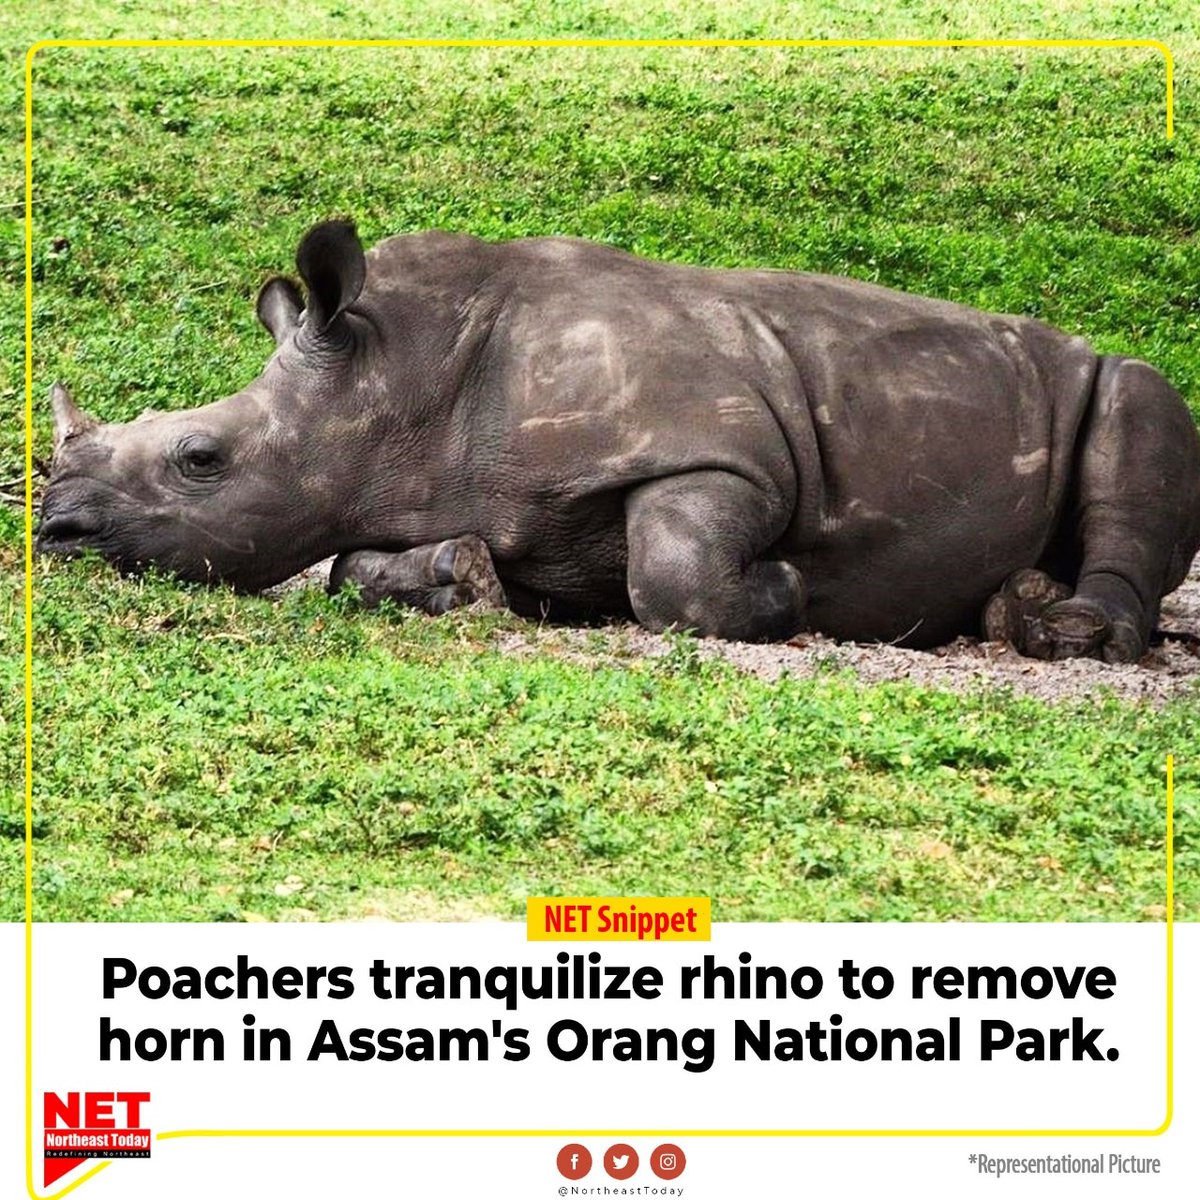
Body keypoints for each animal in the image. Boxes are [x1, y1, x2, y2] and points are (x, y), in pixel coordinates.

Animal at [37, 220, 1200, 661]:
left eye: (201, 459)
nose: (57, 530)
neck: (397, 377)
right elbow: (351, 567)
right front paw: (467, 577)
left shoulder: (725, 453)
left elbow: (675, 571)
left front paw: (788, 591)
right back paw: (1014, 609)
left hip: (1110, 376)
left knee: (1135, 408)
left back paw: (1070, 633)